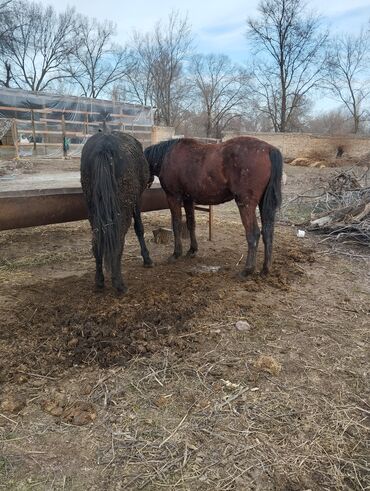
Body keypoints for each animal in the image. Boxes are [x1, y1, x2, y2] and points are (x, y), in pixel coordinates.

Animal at [81, 131, 152, 294]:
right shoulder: (137, 200)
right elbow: (139, 228)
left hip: (93, 209)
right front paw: (147, 258)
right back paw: (119, 283)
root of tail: (104, 147)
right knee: (118, 239)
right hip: (122, 209)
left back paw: (100, 280)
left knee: (97, 241)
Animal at [143, 136, 282, 278]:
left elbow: (176, 224)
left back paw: (247, 270)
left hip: (246, 204)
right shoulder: (188, 199)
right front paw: (192, 250)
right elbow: (190, 223)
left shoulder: (174, 197)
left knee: (253, 234)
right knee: (267, 232)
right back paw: (265, 270)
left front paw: (176, 254)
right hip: (264, 204)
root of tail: (268, 149)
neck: (167, 156)